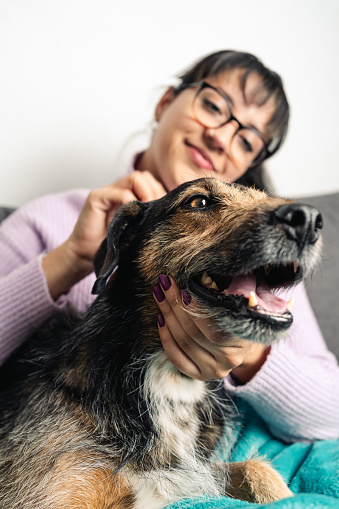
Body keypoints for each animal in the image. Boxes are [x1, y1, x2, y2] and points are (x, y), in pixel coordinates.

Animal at [0, 177, 324, 506]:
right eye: (199, 202)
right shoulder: (50, 492)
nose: (309, 219)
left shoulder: (191, 473)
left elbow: (259, 470)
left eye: (262, 196)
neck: (169, 379)